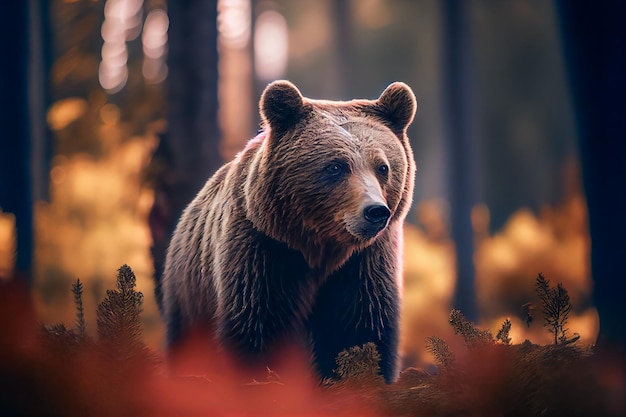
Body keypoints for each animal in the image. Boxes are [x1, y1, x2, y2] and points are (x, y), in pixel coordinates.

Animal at [156, 79, 414, 382]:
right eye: (336, 166)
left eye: (383, 167)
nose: (375, 211)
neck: (321, 247)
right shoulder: (264, 252)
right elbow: (257, 325)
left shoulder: (364, 263)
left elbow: (362, 327)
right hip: (189, 295)